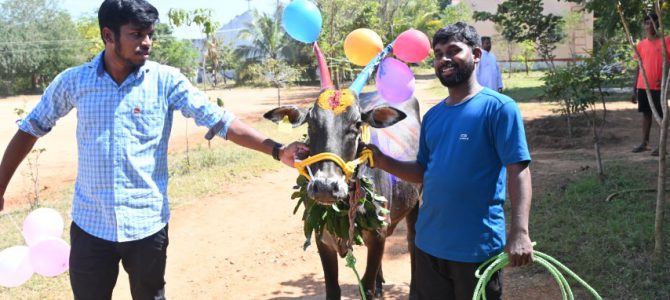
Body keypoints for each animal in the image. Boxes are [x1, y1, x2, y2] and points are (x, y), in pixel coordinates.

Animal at [266, 43, 422, 298]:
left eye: (357, 124)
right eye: (311, 123)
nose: (325, 187)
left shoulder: (377, 236)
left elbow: (366, 287)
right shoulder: (322, 238)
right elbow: (333, 289)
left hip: (415, 204)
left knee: (412, 243)